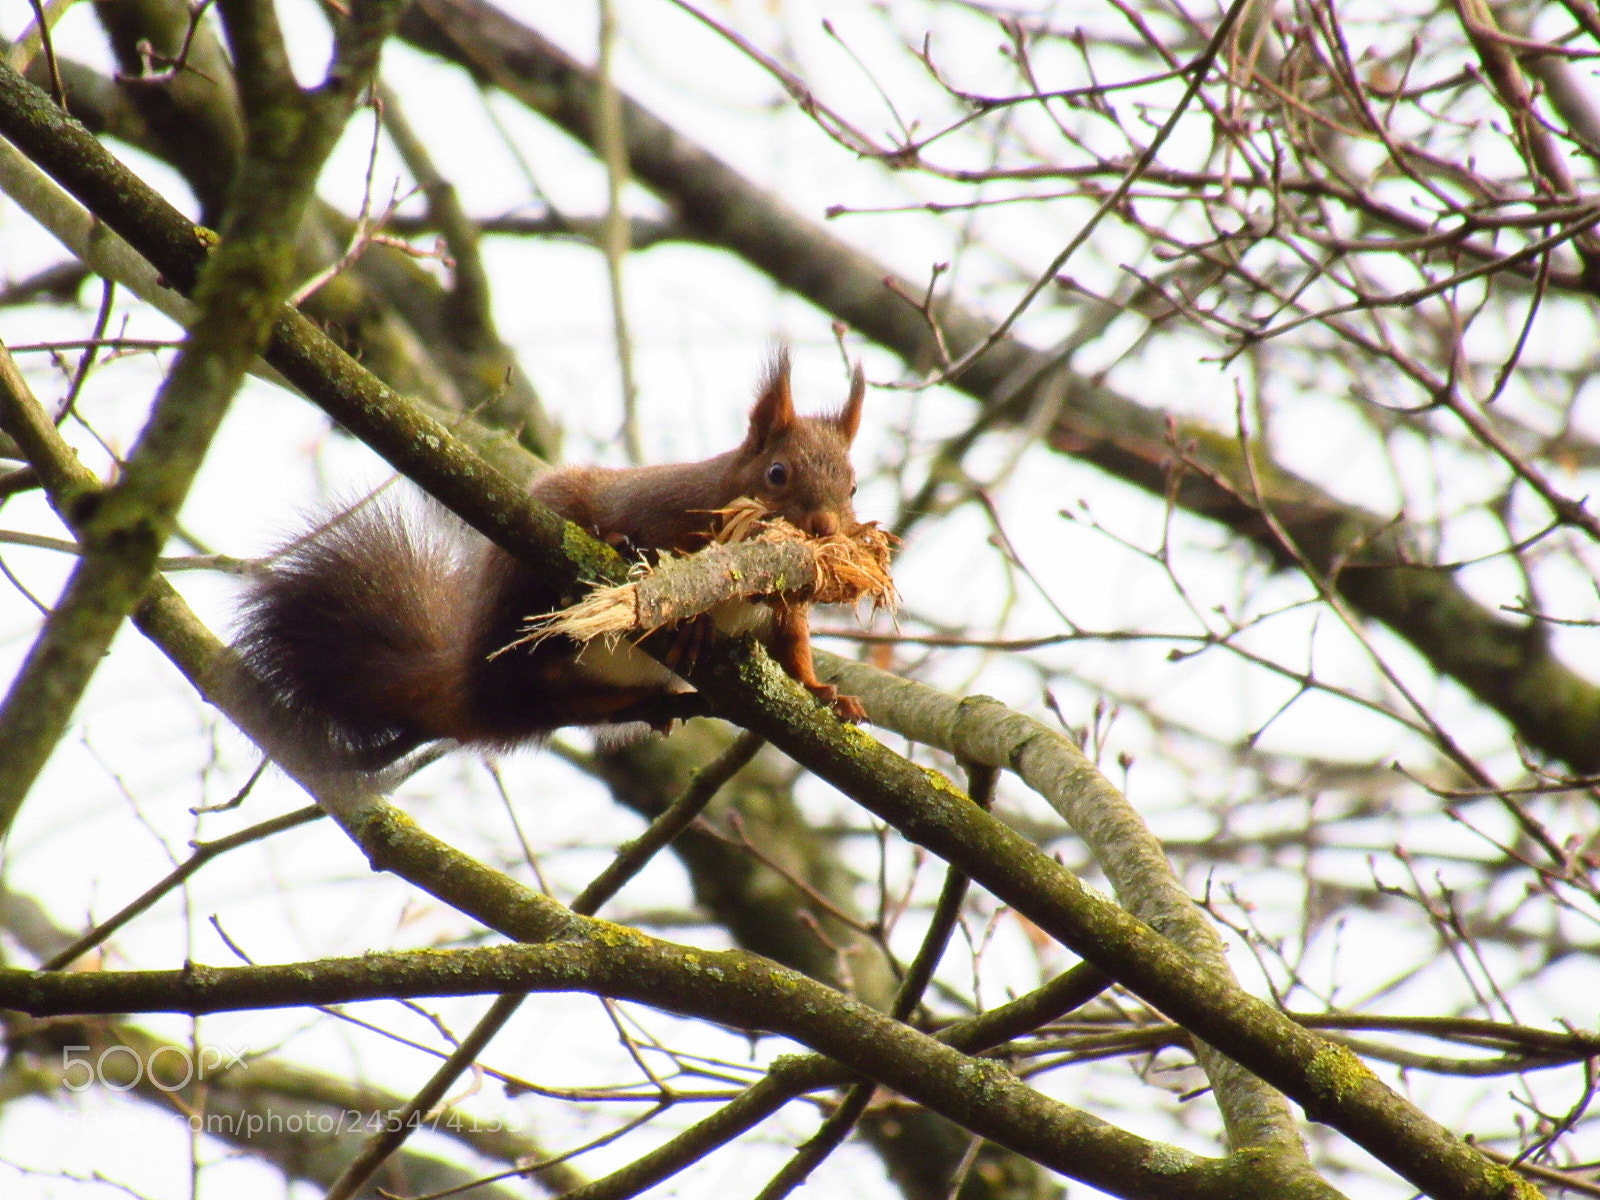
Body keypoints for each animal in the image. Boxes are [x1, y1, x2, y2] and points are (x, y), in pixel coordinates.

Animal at [231, 351, 866, 773]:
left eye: (853, 486)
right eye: (777, 474)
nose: (825, 529)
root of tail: (467, 682)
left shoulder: (784, 601)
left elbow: (793, 647)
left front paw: (822, 693)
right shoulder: (665, 513)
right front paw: (690, 621)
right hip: (523, 579)